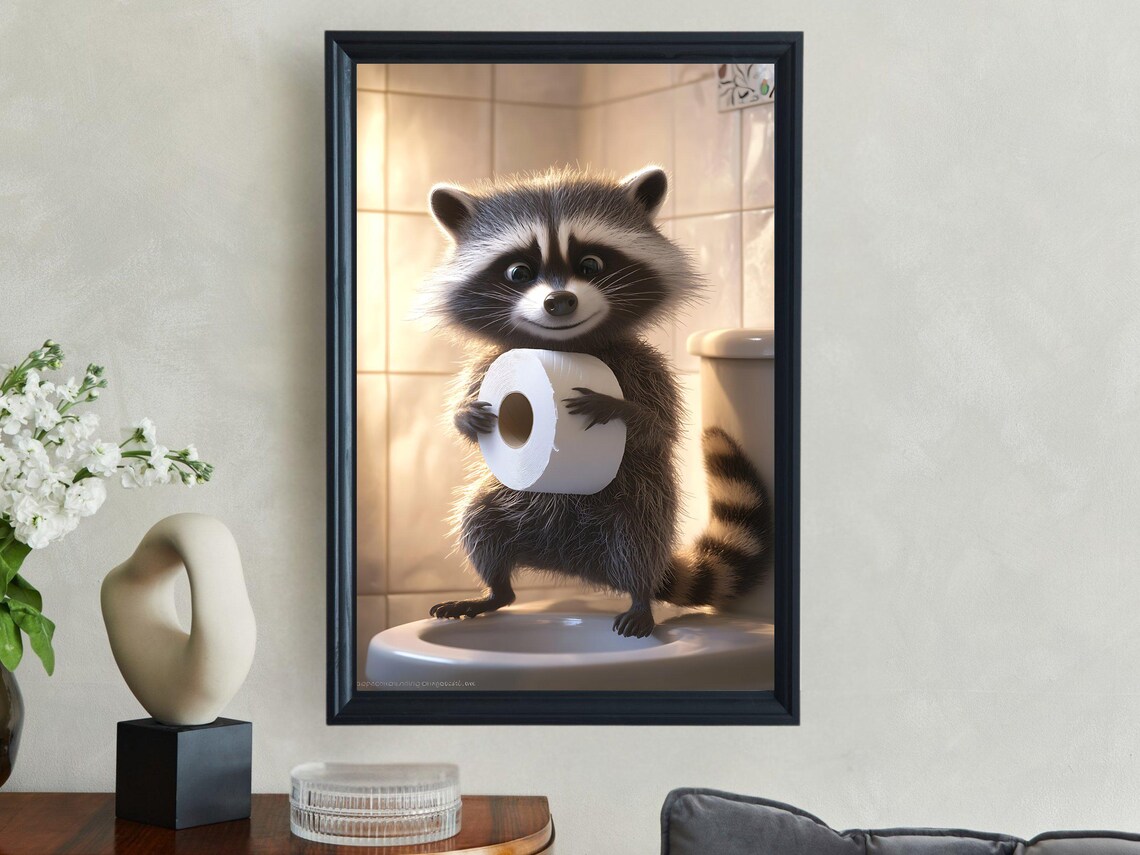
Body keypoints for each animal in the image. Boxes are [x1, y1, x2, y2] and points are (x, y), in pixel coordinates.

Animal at [422, 165, 771, 637]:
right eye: (518, 272)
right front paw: (465, 417)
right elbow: (468, 407)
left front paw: (620, 409)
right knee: (480, 521)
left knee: (637, 540)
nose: (559, 301)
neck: (568, 346)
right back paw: (494, 590)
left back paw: (640, 597)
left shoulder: (645, 366)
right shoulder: (490, 363)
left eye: (591, 264)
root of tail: (577, 568)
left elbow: (659, 426)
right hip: (508, 502)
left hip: (641, 503)